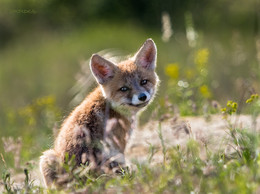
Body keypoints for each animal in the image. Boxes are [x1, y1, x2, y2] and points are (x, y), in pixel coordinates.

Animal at [39, 38, 159, 187]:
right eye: (124, 89)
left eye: (144, 82)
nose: (142, 96)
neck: (109, 105)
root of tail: (83, 178)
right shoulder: (120, 146)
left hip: (47, 158)